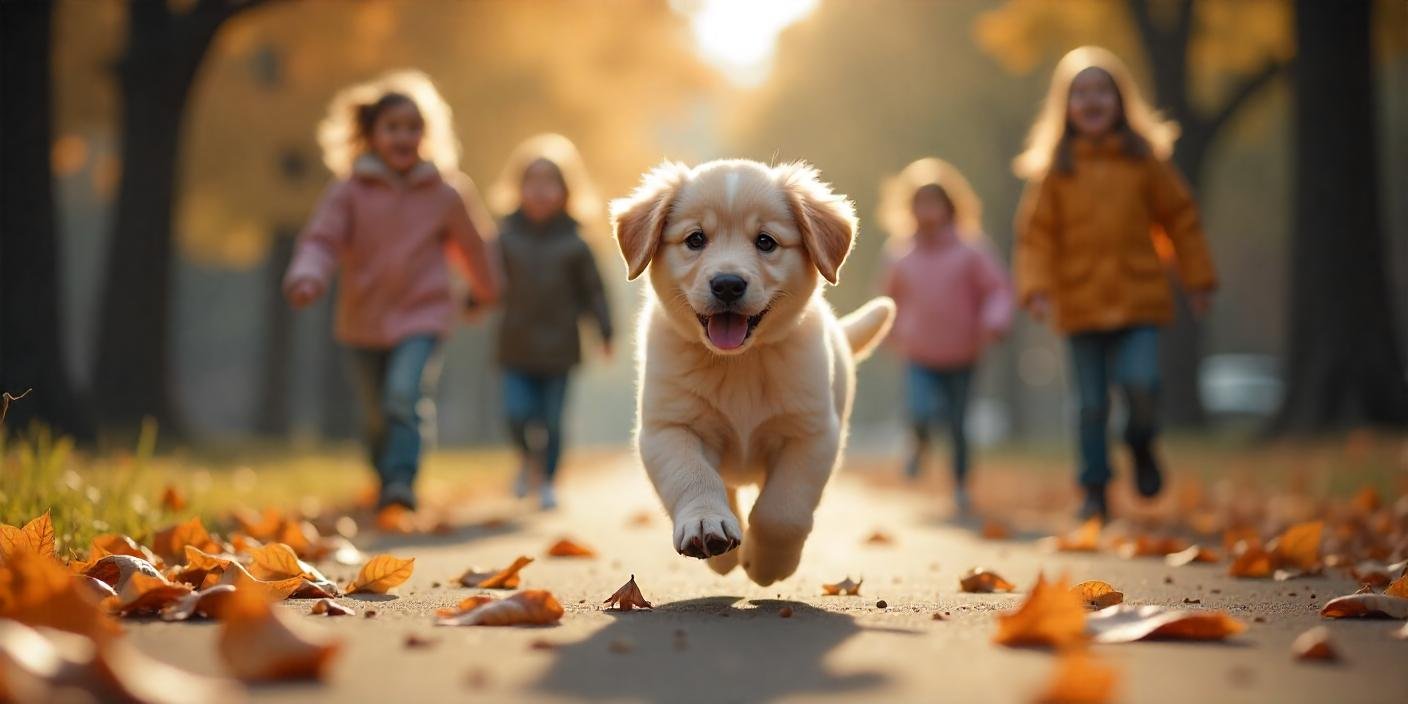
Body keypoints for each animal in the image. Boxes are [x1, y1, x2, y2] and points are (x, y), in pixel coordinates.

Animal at [611, 161, 895, 585]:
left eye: (765, 242)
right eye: (695, 239)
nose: (728, 284)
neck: (739, 362)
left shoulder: (811, 433)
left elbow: (783, 510)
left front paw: (767, 564)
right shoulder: (669, 427)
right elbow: (694, 476)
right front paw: (708, 529)